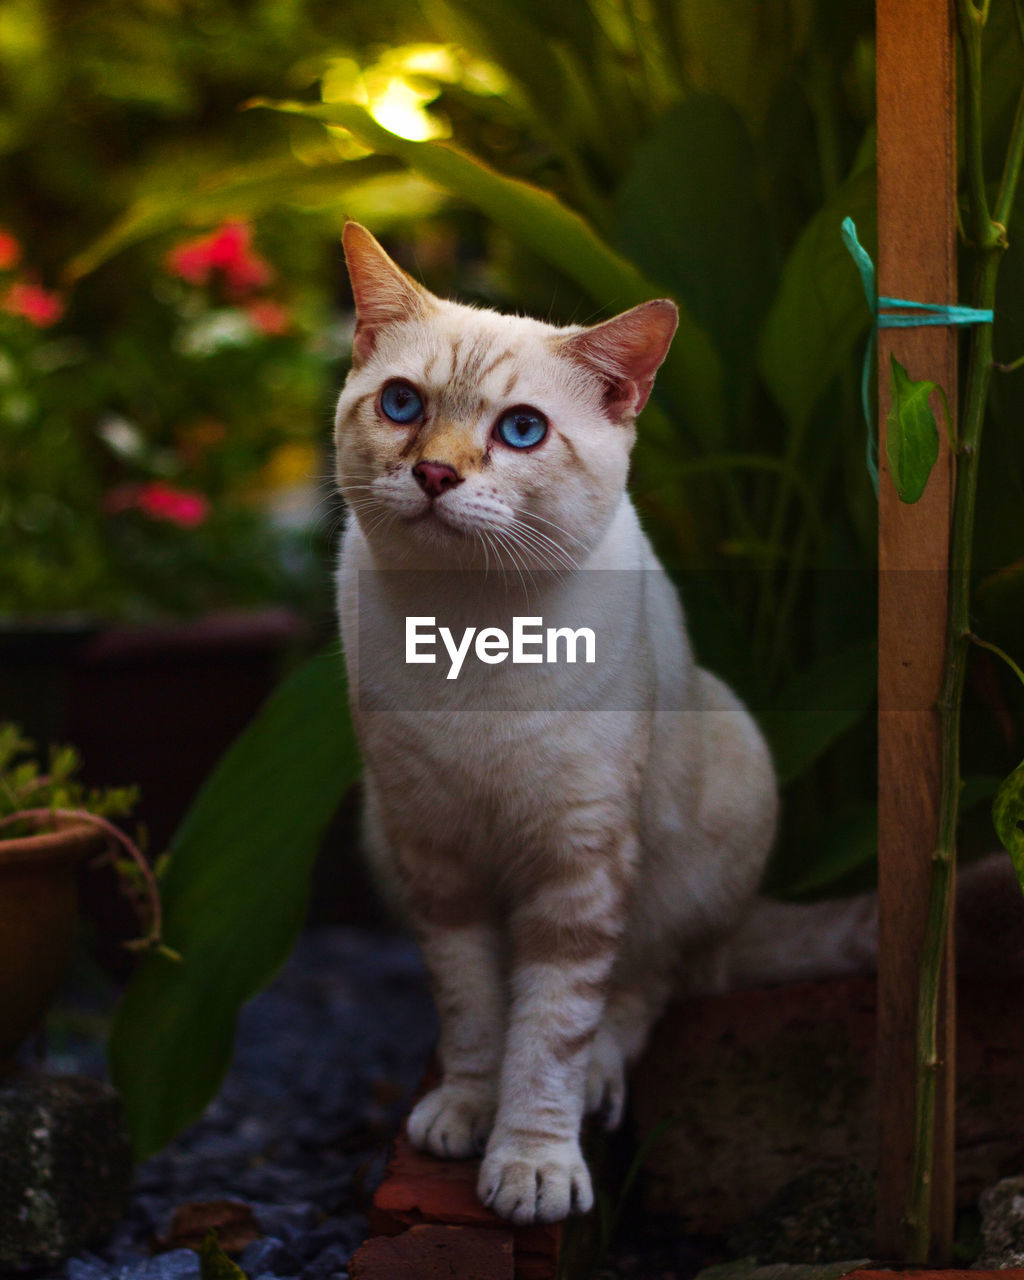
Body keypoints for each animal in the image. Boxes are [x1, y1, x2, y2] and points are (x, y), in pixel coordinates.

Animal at [335, 222, 778, 1228]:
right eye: (402, 404)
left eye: (522, 430)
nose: (433, 472)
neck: (468, 635)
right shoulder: (435, 856)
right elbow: (472, 1009)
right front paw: (466, 1111)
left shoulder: (578, 866)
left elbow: (552, 1032)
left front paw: (533, 1165)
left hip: (722, 802)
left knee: (647, 988)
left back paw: (601, 1083)